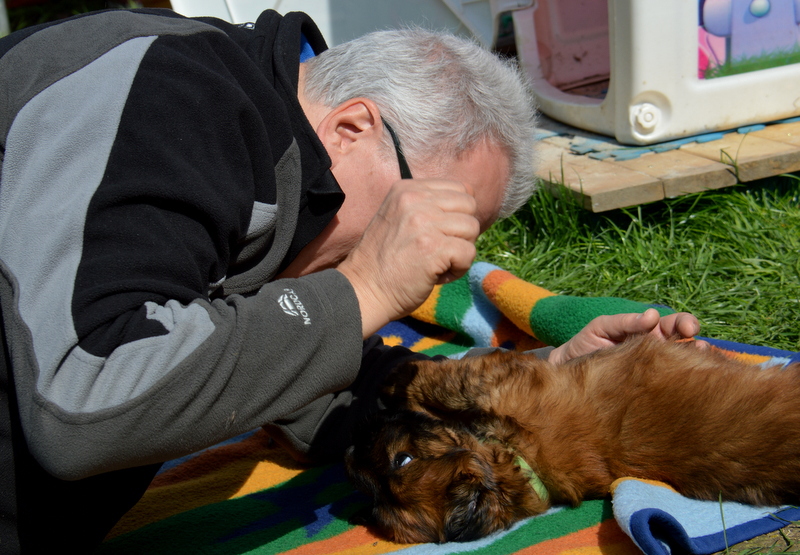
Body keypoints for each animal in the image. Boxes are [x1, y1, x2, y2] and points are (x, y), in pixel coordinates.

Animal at [344, 335, 800, 543]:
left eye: (401, 461)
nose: (348, 453)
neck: (522, 461)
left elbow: (428, 386)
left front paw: (390, 382)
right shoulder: (494, 379)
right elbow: (432, 379)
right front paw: (394, 379)